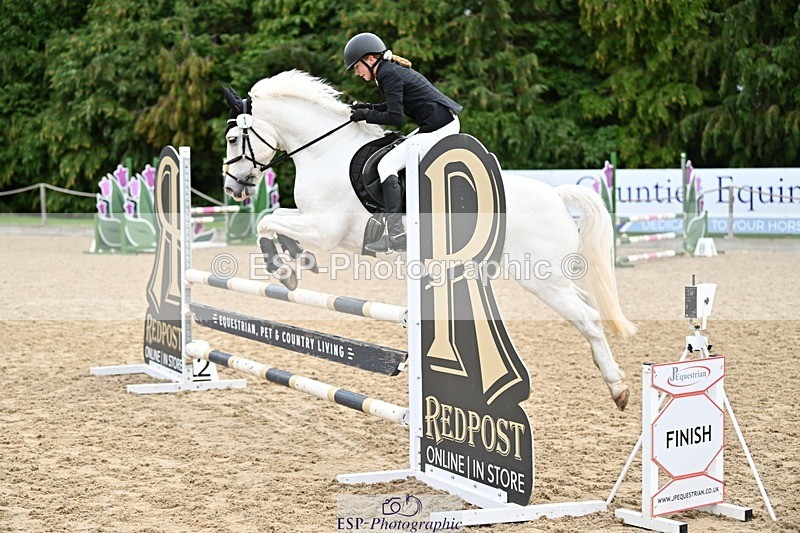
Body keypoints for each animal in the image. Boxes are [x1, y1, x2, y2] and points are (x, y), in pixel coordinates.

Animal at [220, 69, 635, 411]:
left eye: (232, 138)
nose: (231, 188)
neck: (324, 151)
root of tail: (556, 195)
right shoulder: (315, 223)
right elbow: (273, 221)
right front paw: (292, 260)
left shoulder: (325, 229)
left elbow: (267, 220)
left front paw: (283, 268)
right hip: (546, 275)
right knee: (587, 307)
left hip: (541, 277)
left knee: (589, 319)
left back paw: (618, 388)